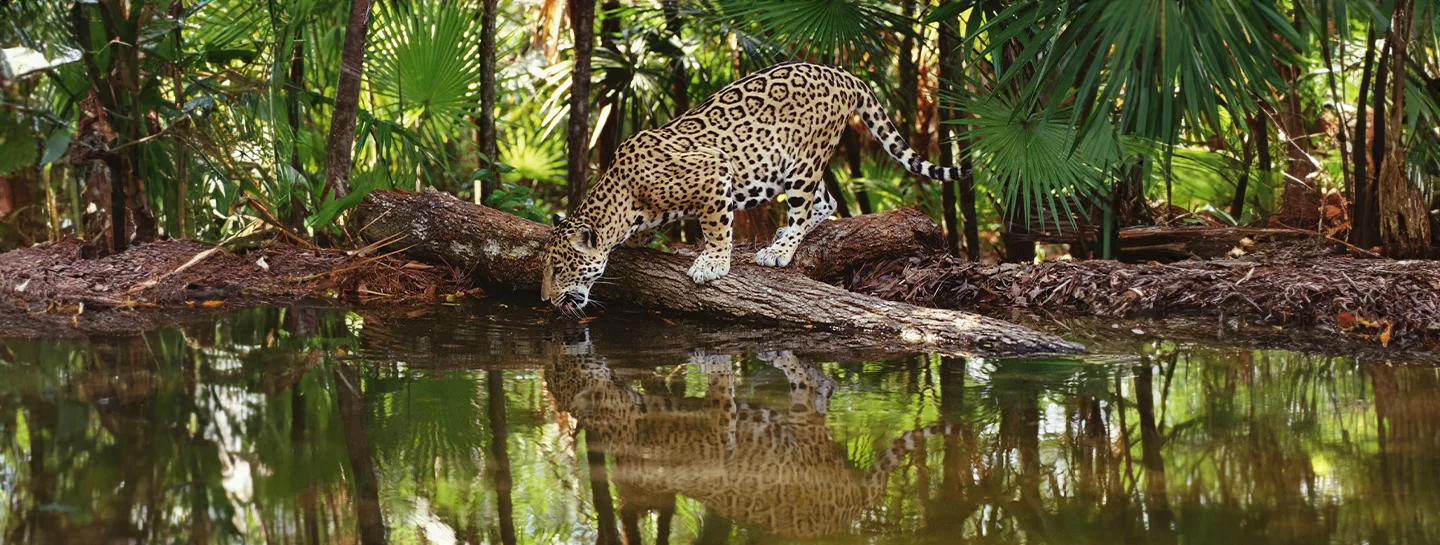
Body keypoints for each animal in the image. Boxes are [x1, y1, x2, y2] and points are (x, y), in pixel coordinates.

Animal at [540, 61, 972, 312]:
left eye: (560, 269)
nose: (545, 299)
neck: (623, 199)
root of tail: (842, 73)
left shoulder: (714, 170)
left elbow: (716, 227)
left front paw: (712, 263)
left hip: (803, 161)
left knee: (805, 205)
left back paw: (780, 249)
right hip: (788, 165)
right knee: (828, 200)